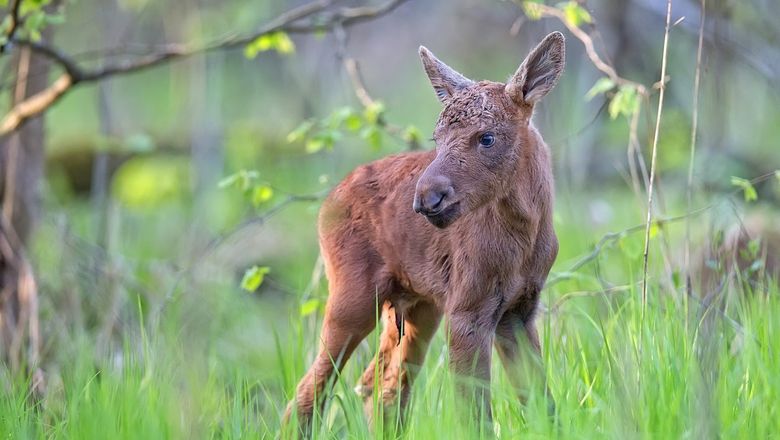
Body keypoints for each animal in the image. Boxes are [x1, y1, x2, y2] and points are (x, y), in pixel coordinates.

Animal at [285, 31, 564, 433]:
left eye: (487, 137)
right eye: (437, 138)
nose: (427, 198)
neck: (525, 236)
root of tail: (327, 202)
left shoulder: (519, 309)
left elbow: (543, 403)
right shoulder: (467, 309)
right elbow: (475, 413)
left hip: (416, 306)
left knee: (380, 386)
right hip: (353, 298)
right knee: (310, 390)